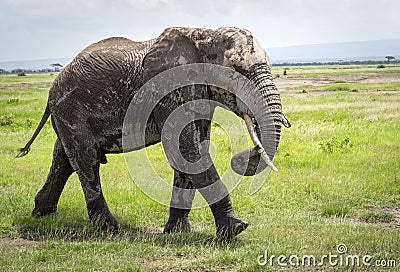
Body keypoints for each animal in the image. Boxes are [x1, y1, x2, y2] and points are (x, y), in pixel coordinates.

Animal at [17, 26, 290, 239]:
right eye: (236, 70)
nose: (242, 157)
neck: (205, 34)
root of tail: (54, 85)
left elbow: (193, 151)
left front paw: (177, 232)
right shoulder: (169, 88)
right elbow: (186, 151)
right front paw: (236, 228)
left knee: (63, 157)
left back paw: (42, 213)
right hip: (70, 108)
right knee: (86, 159)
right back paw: (110, 229)